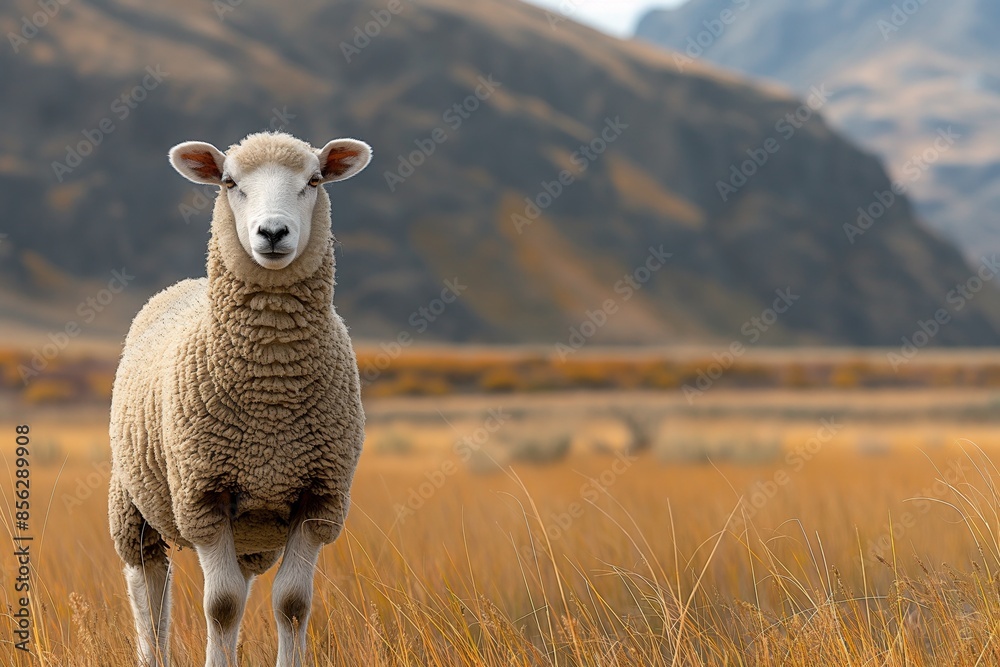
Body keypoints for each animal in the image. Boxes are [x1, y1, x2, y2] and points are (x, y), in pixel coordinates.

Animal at [108, 131, 371, 667]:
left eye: (315, 180)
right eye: (229, 182)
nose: (272, 232)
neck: (271, 386)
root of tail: (184, 284)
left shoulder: (319, 495)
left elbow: (292, 604)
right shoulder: (203, 494)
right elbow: (222, 605)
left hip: (251, 528)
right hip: (133, 504)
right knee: (148, 591)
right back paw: (152, 649)